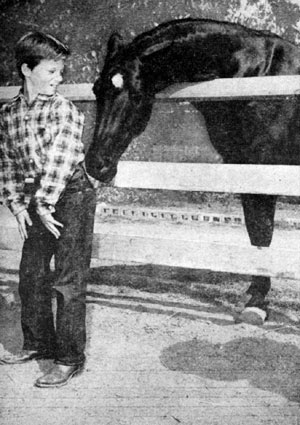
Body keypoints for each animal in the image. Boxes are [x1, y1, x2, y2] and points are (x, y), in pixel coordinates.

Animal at [86, 18, 300, 322]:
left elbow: (262, 232)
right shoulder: (241, 167)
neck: (257, 75)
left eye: (137, 94)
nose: (97, 164)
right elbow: (255, 232)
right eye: (96, 89)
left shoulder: (263, 169)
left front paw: (257, 305)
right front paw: (253, 295)